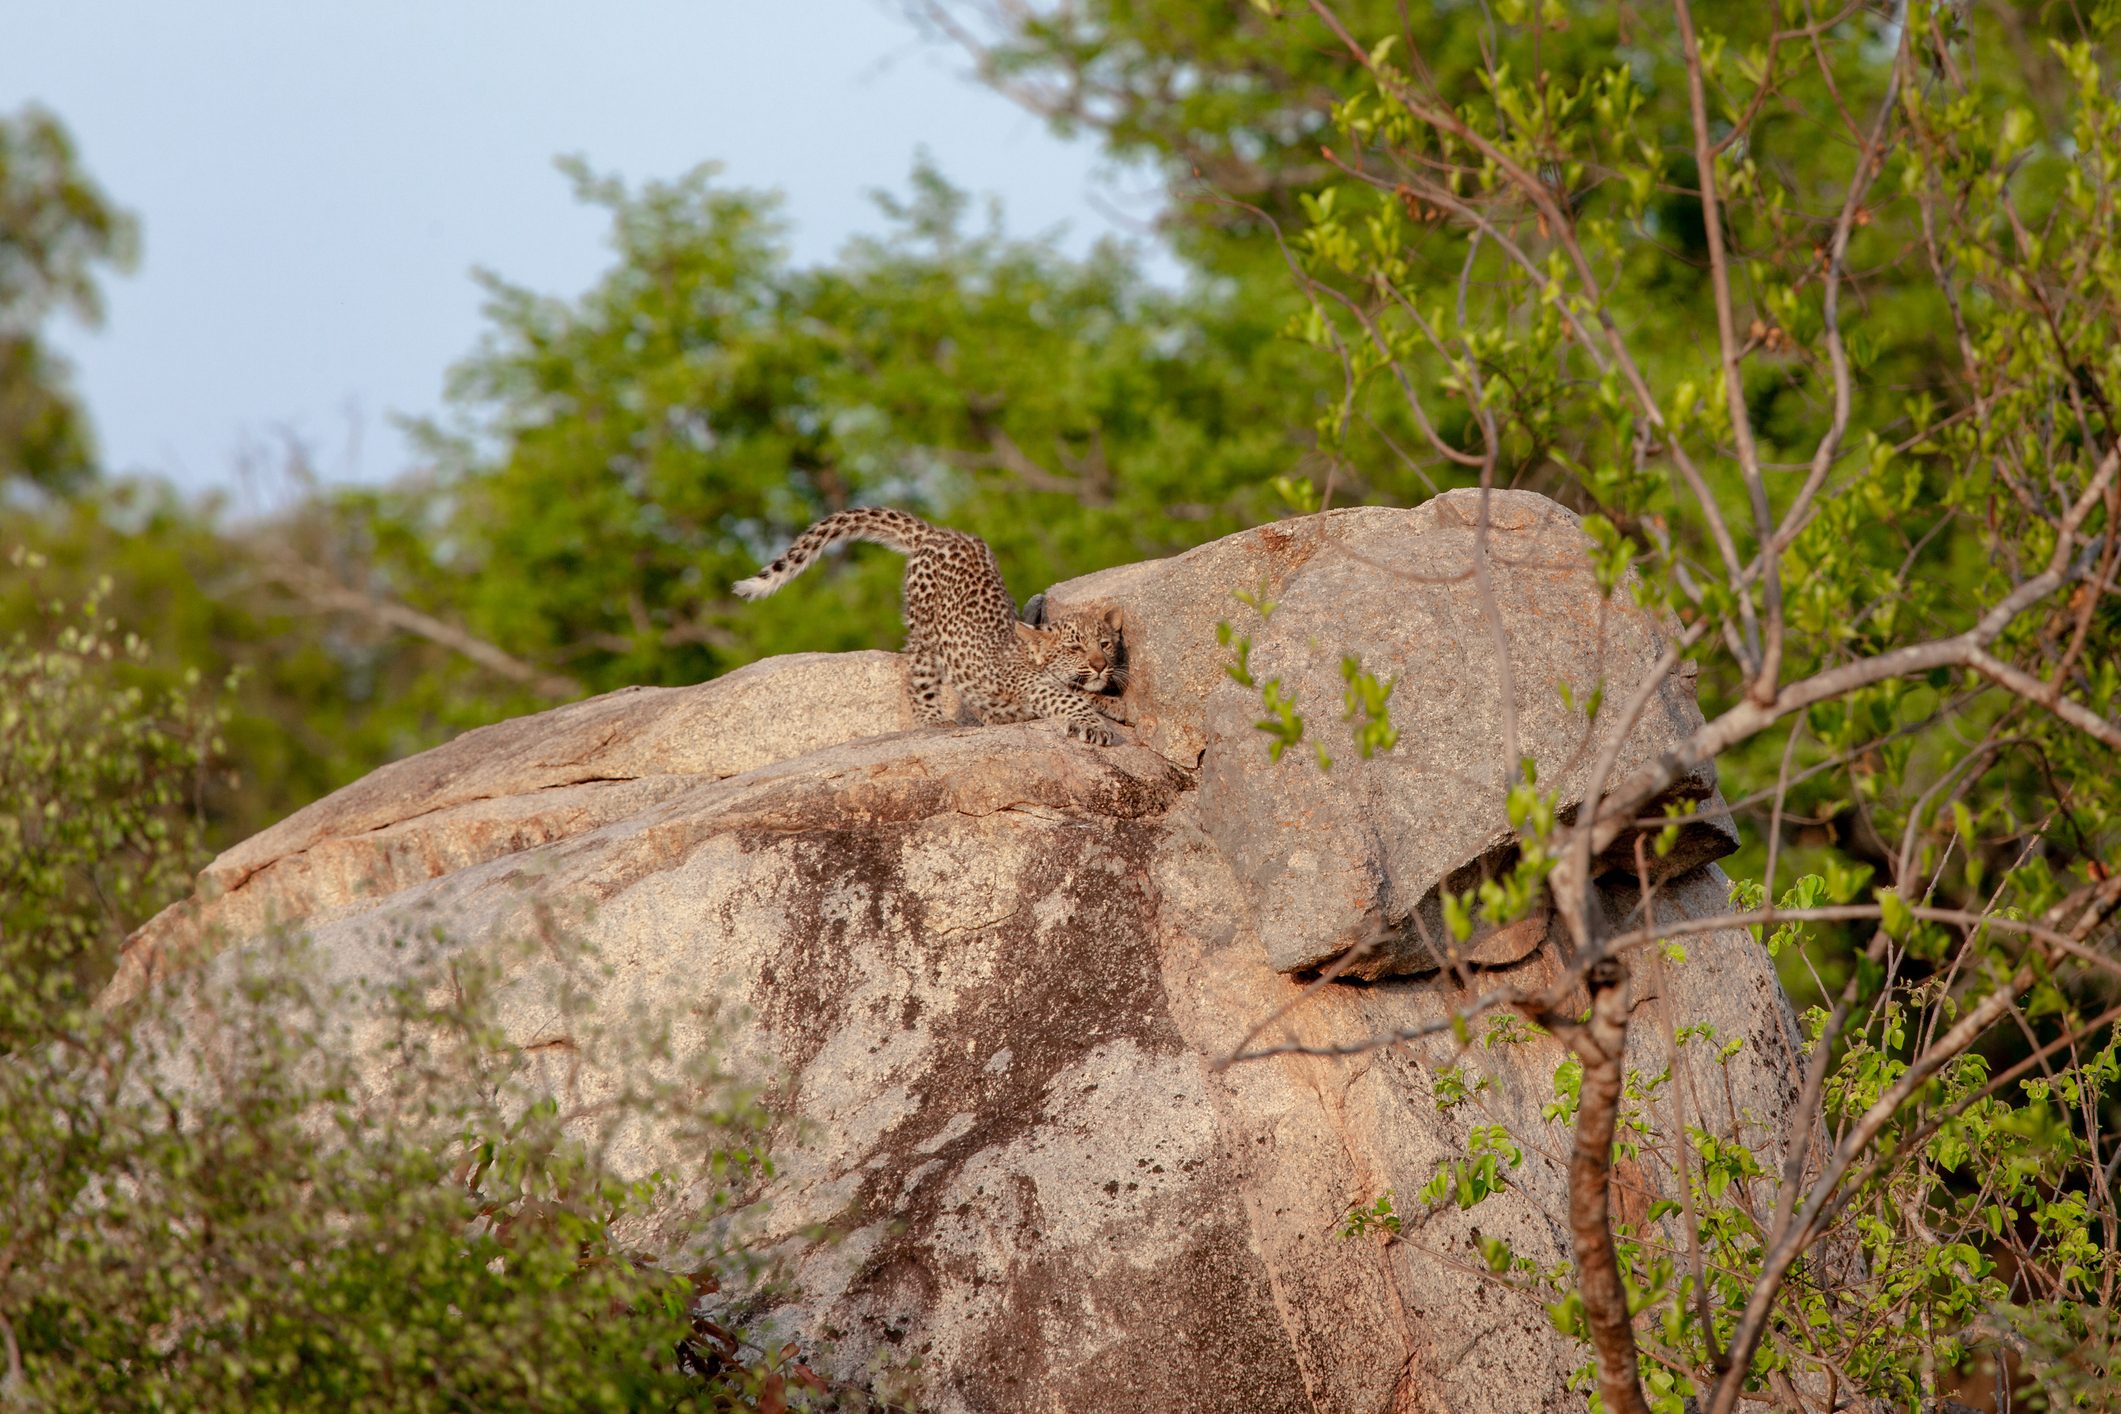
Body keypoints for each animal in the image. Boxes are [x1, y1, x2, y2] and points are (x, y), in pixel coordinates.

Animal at [732, 506, 1128, 744]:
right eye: (1074, 648)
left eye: (1105, 644)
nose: (1100, 665)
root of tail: (938, 533)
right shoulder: (1038, 688)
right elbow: (1072, 701)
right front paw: (1095, 727)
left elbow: (1091, 696)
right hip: (923, 630)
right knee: (917, 677)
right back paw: (934, 719)